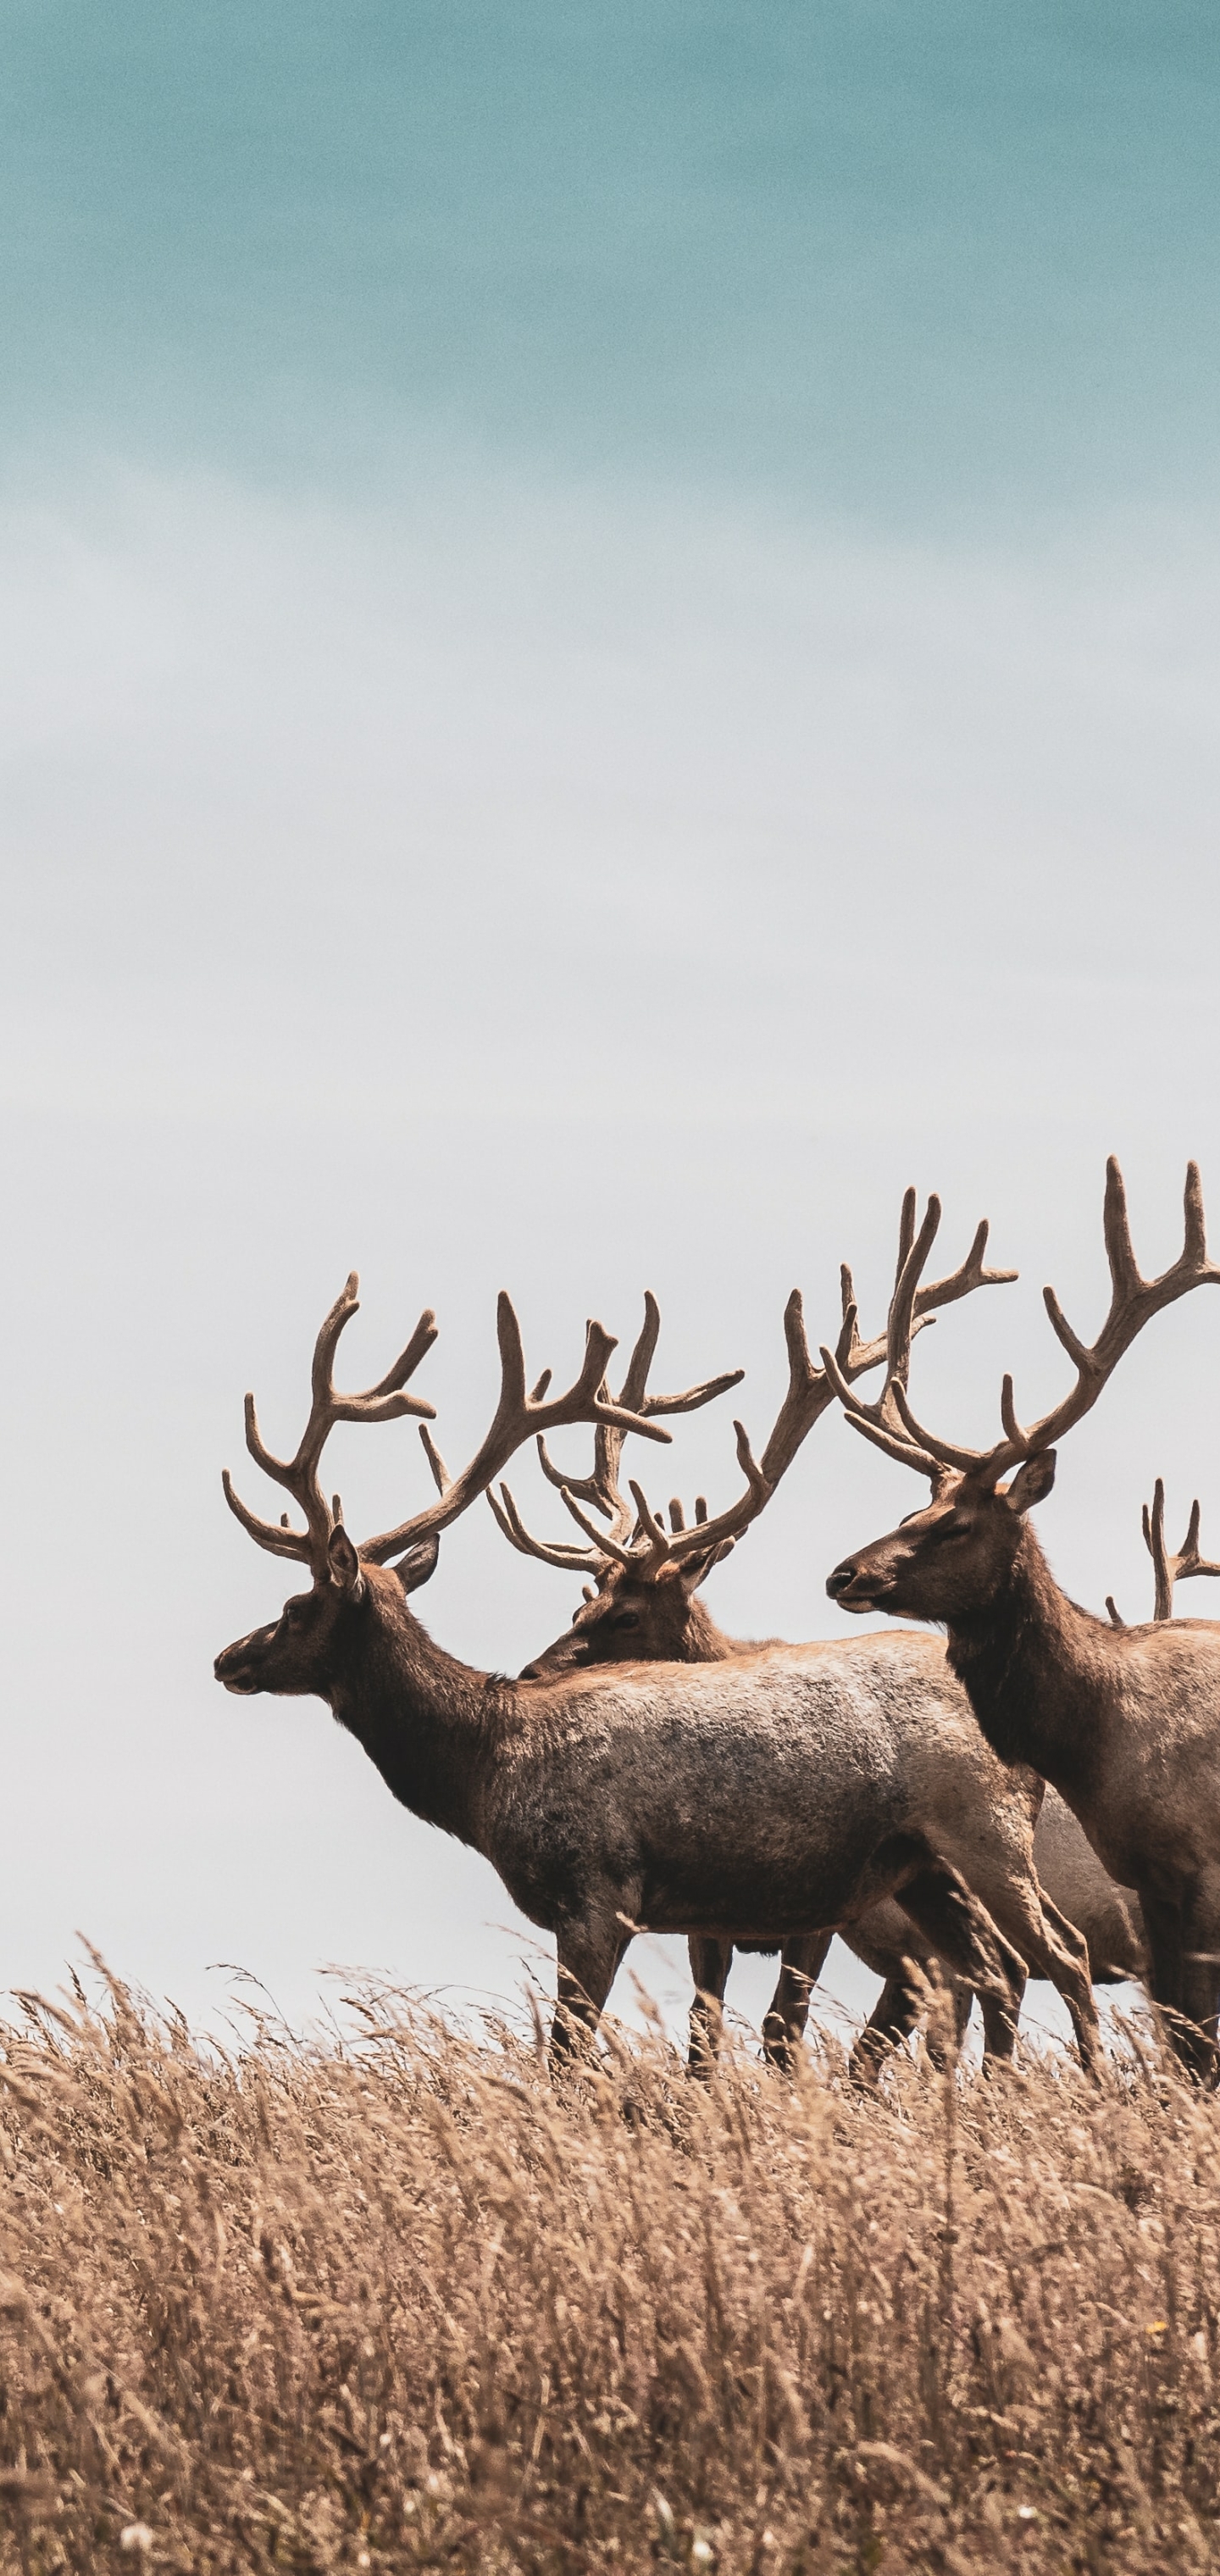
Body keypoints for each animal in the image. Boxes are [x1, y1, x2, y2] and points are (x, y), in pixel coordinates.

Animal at [214, 1277, 1034, 2081]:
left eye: (295, 1606)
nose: (226, 1658)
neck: (484, 1769)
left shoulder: (599, 1892)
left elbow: (568, 2057)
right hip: (925, 1874)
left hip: (975, 1842)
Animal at [829, 1159, 1220, 2081]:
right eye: (912, 1505)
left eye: (957, 1524)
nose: (844, 1574)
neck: (1097, 1734)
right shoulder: (1147, 1877)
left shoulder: (1194, 1865)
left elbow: (1193, 2037)